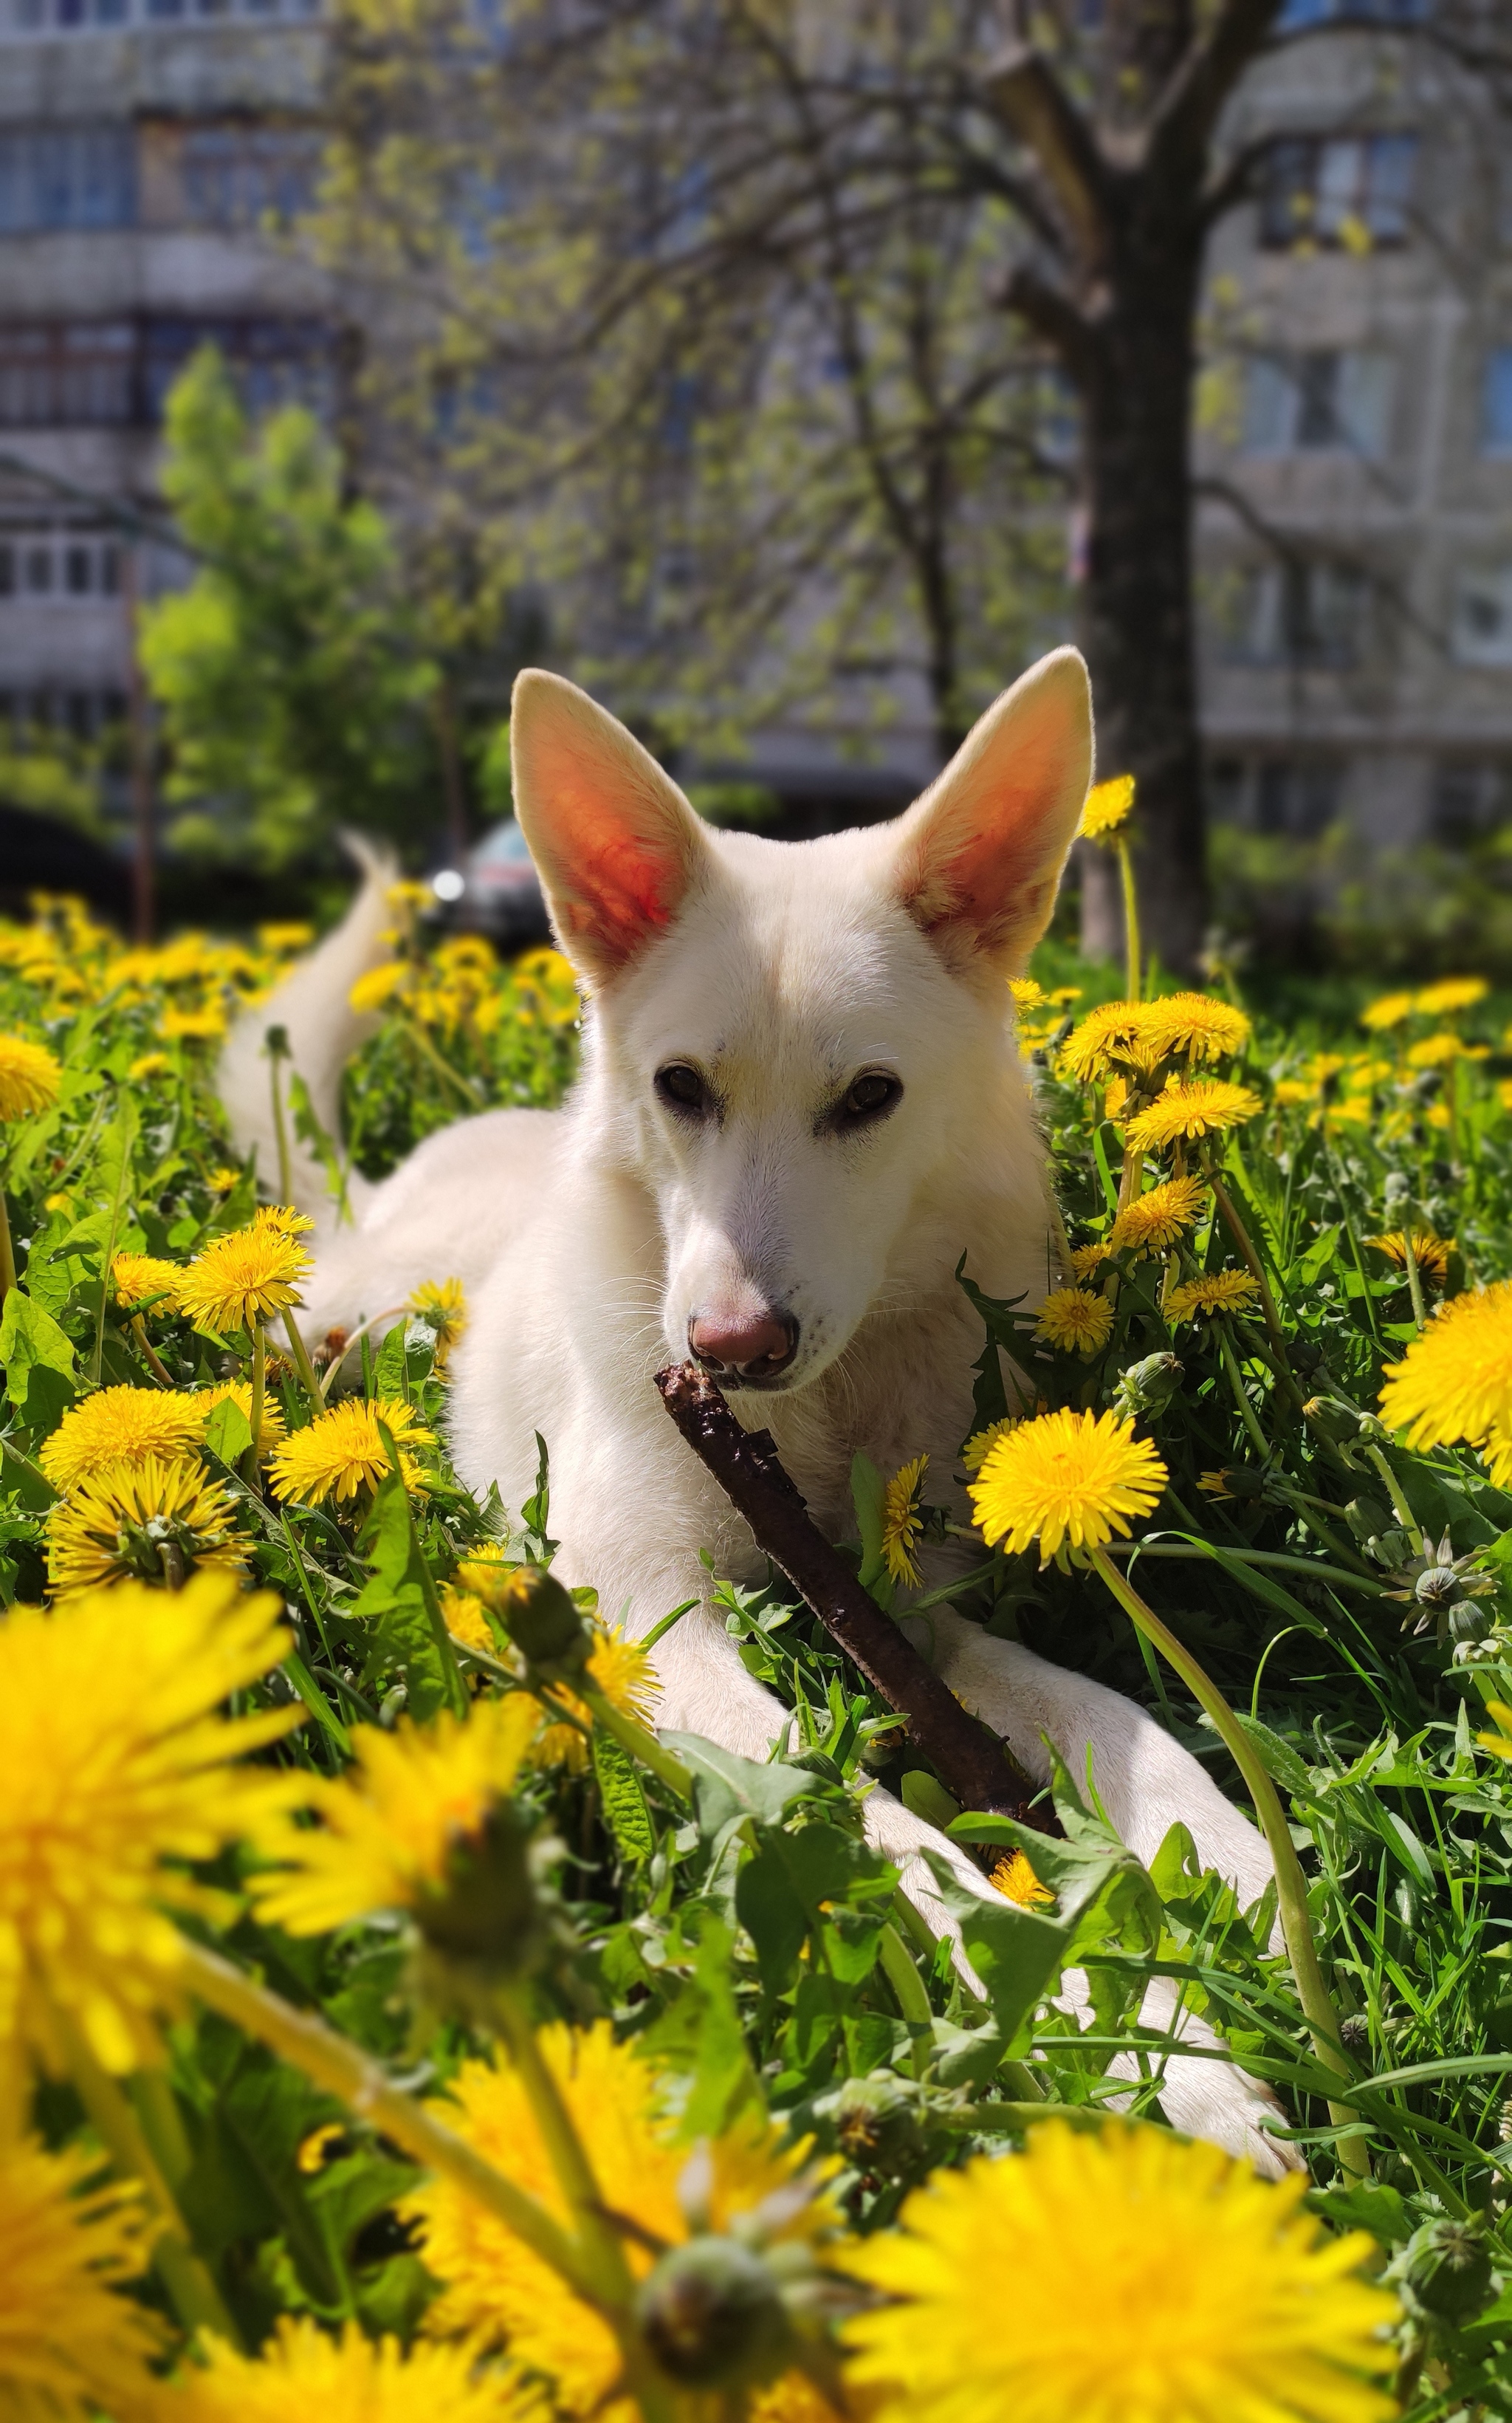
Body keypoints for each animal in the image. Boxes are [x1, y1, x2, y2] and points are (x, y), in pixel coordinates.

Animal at [218, 654, 1289, 2170]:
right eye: (681, 1088)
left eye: (870, 1096)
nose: (728, 1351)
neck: (819, 1417)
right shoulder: (649, 1620)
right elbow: (883, 1833)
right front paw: (1128, 2041)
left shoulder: (905, 1608)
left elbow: (1095, 1706)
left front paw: (1226, 1846)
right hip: (344, 1313)